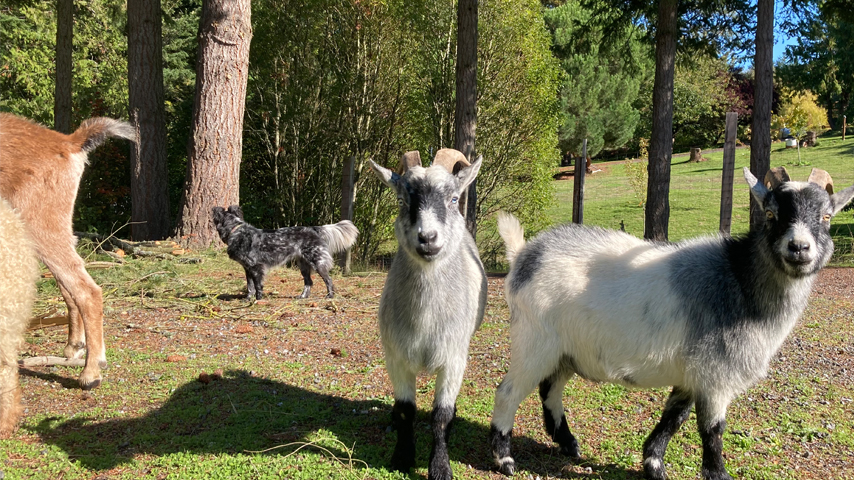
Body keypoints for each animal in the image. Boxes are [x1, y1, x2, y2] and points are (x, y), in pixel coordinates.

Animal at [216, 206, 362, 300]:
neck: (236, 231)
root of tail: (314, 228)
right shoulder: (247, 269)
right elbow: (249, 286)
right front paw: (247, 299)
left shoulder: (257, 267)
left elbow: (258, 286)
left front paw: (258, 299)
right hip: (303, 266)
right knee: (309, 282)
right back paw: (302, 297)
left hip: (318, 263)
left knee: (329, 281)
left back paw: (329, 296)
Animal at [370, 149, 488, 480]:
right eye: (401, 200)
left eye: (453, 198)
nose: (428, 238)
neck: (424, 323)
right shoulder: (396, 356)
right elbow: (406, 410)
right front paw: (402, 457)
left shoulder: (454, 358)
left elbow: (441, 415)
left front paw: (440, 467)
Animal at [488, 166, 854, 480]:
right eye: (770, 215)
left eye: (826, 217)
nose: (799, 247)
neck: (739, 280)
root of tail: (524, 256)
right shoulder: (715, 374)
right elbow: (712, 429)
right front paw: (717, 473)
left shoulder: (693, 373)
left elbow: (675, 417)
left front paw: (653, 463)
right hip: (534, 341)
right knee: (509, 391)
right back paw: (504, 458)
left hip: (566, 351)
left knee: (549, 389)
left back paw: (568, 444)